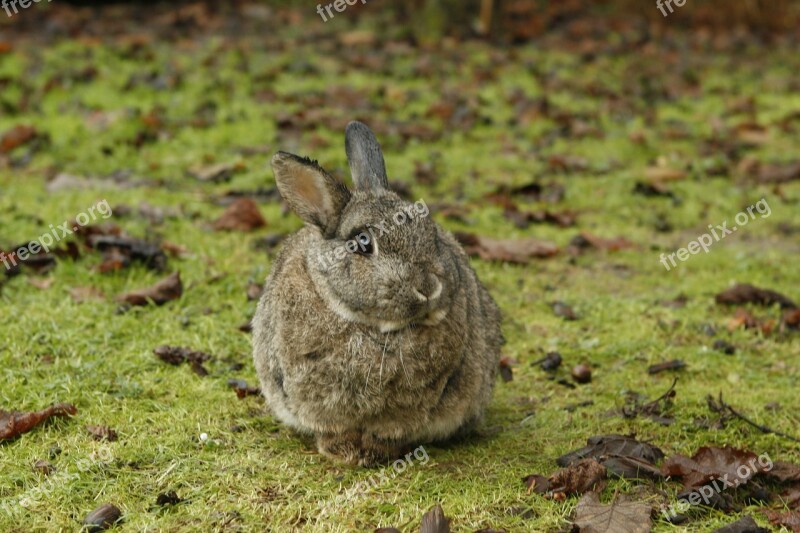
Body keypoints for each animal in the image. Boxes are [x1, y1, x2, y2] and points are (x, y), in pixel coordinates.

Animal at [253, 120, 504, 466]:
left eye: (432, 234)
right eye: (363, 243)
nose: (429, 288)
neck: (368, 325)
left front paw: (373, 453)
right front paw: (343, 452)